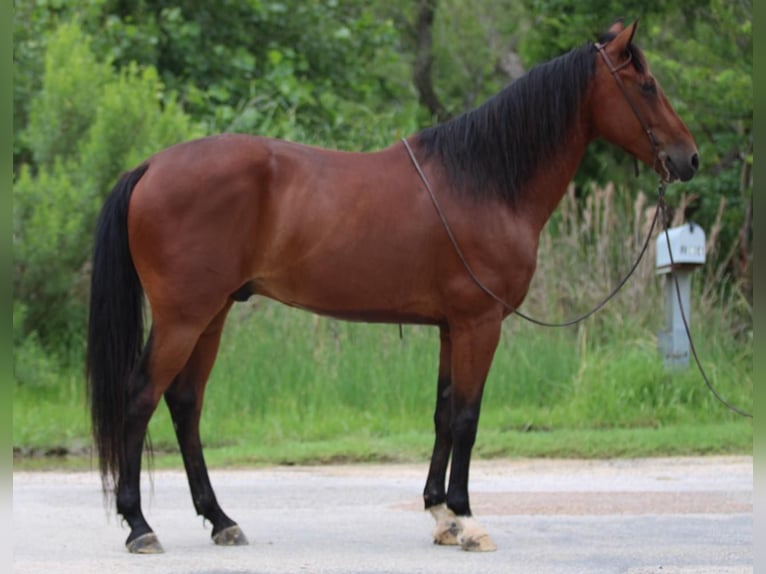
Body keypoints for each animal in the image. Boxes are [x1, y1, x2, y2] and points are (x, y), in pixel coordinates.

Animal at [87, 20, 700, 556]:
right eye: (646, 85)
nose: (688, 158)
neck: (484, 182)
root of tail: (150, 167)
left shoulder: (453, 328)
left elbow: (443, 413)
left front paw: (440, 514)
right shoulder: (479, 325)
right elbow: (468, 419)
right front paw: (467, 520)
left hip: (211, 316)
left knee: (185, 403)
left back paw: (220, 520)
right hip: (183, 318)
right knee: (140, 398)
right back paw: (139, 526)